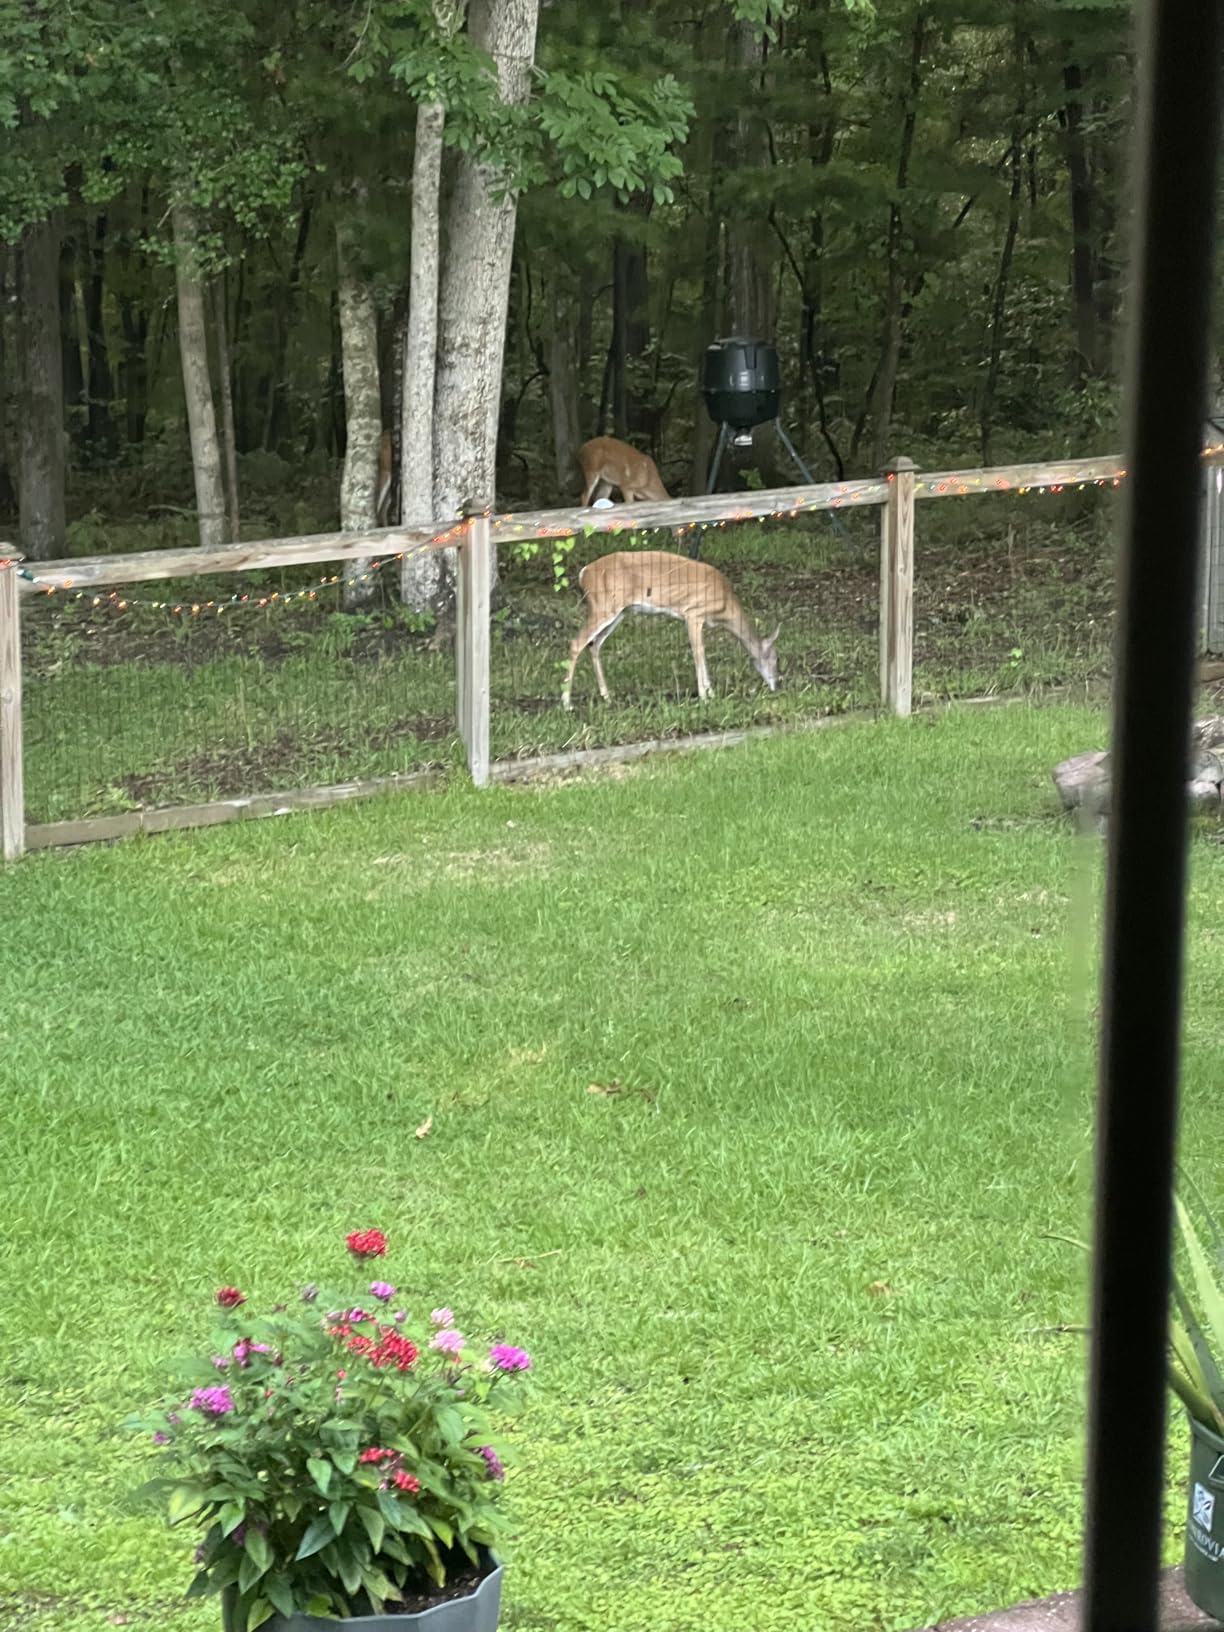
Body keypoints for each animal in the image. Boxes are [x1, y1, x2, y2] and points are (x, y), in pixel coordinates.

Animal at [561, 550, 781, 709]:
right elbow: (699, 653)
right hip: (604, 606)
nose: (777, 684)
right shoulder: (693, 614)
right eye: (775, 658)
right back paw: (567, 703)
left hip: (619, 612)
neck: (725, 606)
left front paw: (710, 692)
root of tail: (584, 573)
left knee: (594, 645)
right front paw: (705, 696)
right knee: (576, 643)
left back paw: (607, 697)